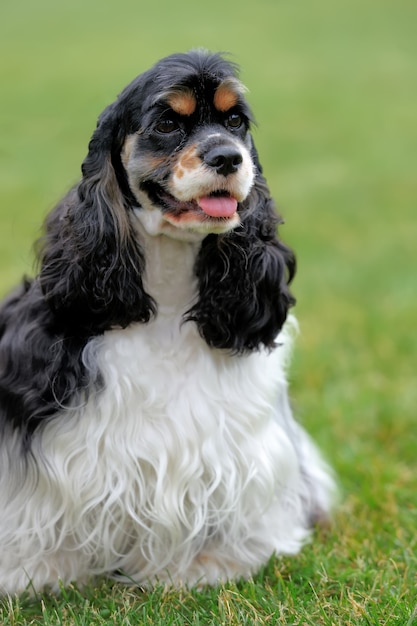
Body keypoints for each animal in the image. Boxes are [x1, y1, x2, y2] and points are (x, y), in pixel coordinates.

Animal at [0, 51, 334, 592]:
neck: (170, 291)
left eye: (235, 121)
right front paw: (39, 570)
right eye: (167, 123)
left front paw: (210, 563)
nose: (229, 158)